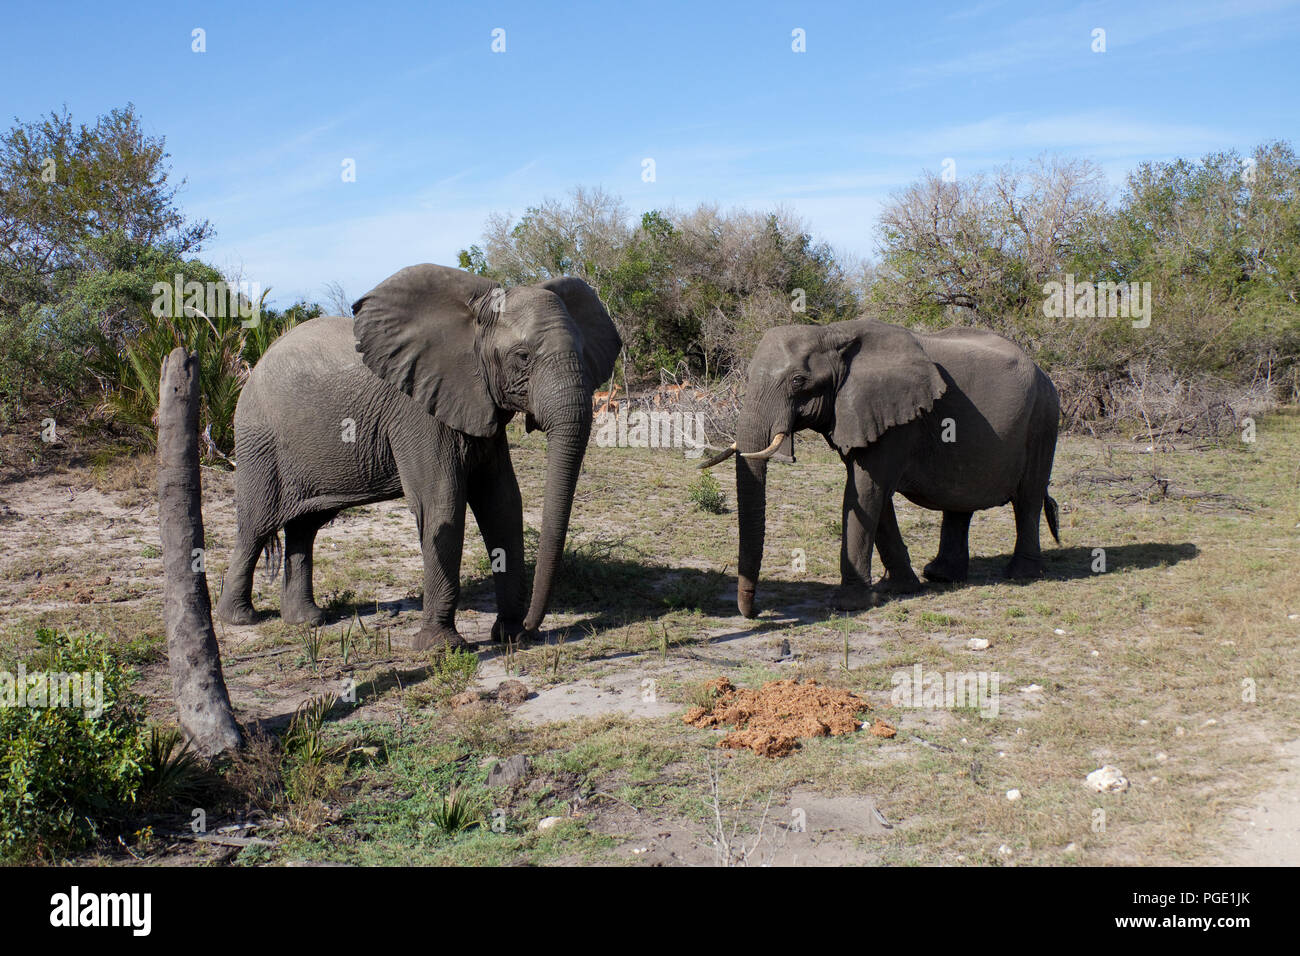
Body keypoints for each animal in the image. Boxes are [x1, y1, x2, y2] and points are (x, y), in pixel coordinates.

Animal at [213, 261, 618, 650]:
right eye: (522, 357)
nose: (530, 631)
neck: (472, 318)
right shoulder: (416, 409)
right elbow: (442, 503)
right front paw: (440, 647)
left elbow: (502, 503)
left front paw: (507, 634)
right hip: (258, 439)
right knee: (255, 524)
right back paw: (240, 618)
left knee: (305, 525)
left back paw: (307, 621)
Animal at [707, 319, 1060, 621]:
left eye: (798, 381)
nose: (755, 612)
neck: (832, 333)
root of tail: (1041, 370)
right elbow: (874, 497)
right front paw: (898, 588)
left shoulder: (897, 419)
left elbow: (865, 492)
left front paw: (849, 605)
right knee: (960, 502)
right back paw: (940, 575)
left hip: (1043, 418)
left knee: (1028, 498)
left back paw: (1022, 575)